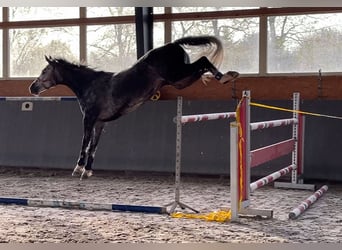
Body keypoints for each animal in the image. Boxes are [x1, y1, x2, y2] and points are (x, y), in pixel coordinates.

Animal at [30, 35, 238, 180]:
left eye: (44, 71)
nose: (32, 87)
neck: (89, 84)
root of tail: (172, 44)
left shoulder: (89, 119)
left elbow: (84, 143)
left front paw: (78, 168)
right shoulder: (100, 123)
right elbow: (93, 146)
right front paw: (87, 171)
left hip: (177, 75)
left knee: (203, 60)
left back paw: (226, 77)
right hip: (180, 81)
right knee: (202, 66)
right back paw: (228, 76)